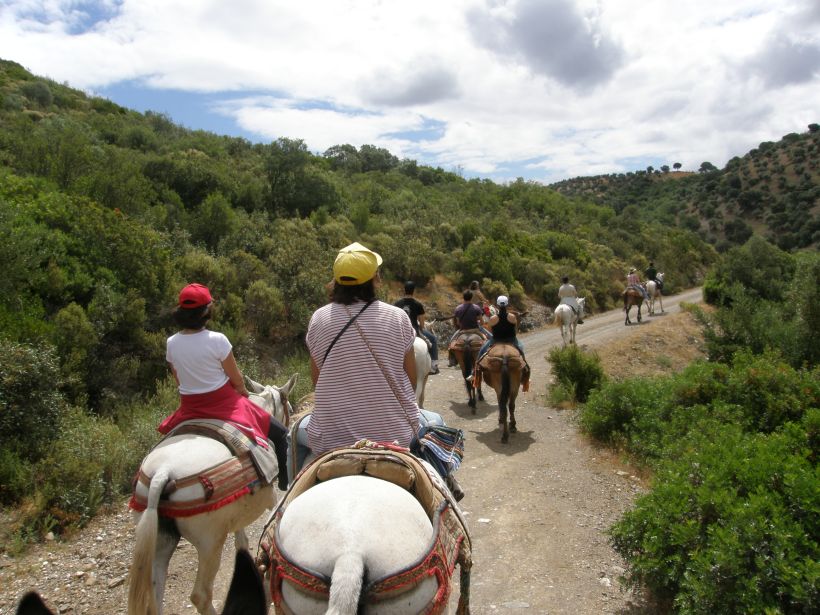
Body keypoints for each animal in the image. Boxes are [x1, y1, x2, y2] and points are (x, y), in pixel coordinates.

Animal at [126, 372, 296, 612]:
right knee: (201, 595)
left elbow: (241, 539)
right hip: (209, 543)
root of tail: (162, 473)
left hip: (160, 540)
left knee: (155, 594)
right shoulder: (267, 502)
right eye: (288, 407)